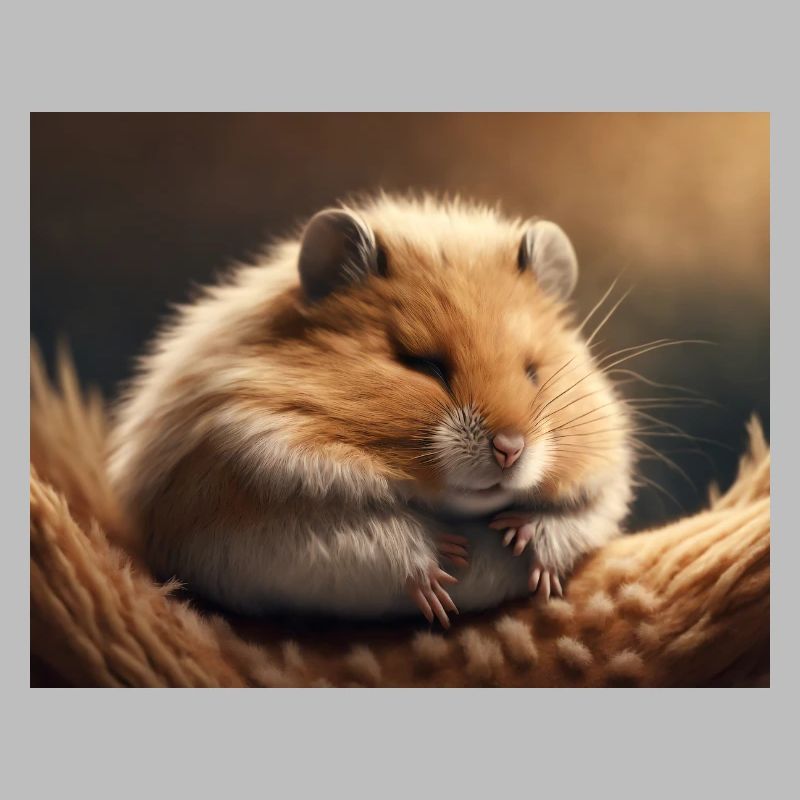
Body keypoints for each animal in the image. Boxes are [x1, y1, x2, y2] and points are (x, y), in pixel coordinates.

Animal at [108, 195, 634, 627]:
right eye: (422, 364)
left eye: (533, 372)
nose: (509, 449)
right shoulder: (258, 501)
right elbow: (370, 537)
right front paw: (448, 567)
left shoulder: (603, 493)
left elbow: (578, 519)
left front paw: (522, 545)